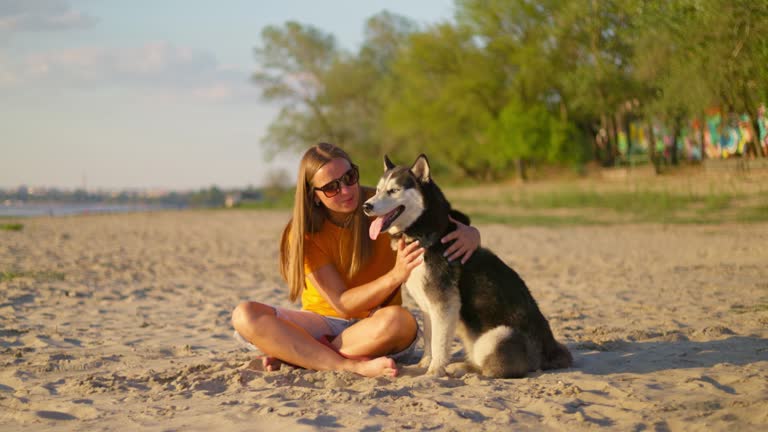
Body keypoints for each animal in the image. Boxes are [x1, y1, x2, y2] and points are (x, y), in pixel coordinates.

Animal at [362, 155, 568, 378]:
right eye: (377, 190)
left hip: (495, 336)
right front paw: (423, 365)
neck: (423, 233)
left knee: (488, 369)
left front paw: (434, 371)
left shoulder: (444, 303)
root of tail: (549, 352)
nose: (366, 206)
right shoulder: (427, 306)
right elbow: (429, 340)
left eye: (393, 190)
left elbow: (439, 343)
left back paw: (461, 368)